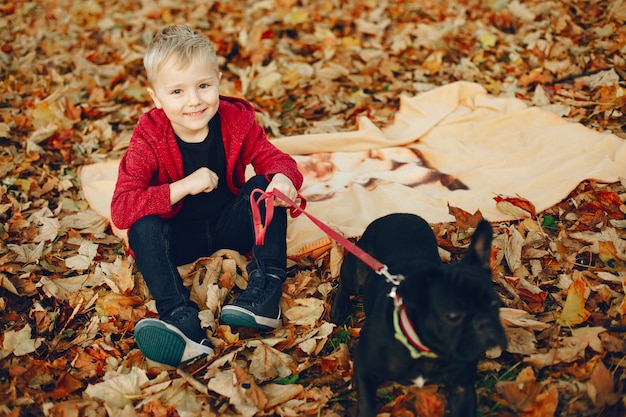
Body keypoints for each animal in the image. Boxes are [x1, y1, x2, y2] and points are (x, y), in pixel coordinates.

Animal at [330, 213, 504, 414]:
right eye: (452, 316)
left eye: (494, 304)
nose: (485, 322)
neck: (426, 349)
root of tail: (398, 214)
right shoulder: (364, 367)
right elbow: (367, 404)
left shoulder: (462, 387)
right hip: (358, 274)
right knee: (345, 280)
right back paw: (338, 309)